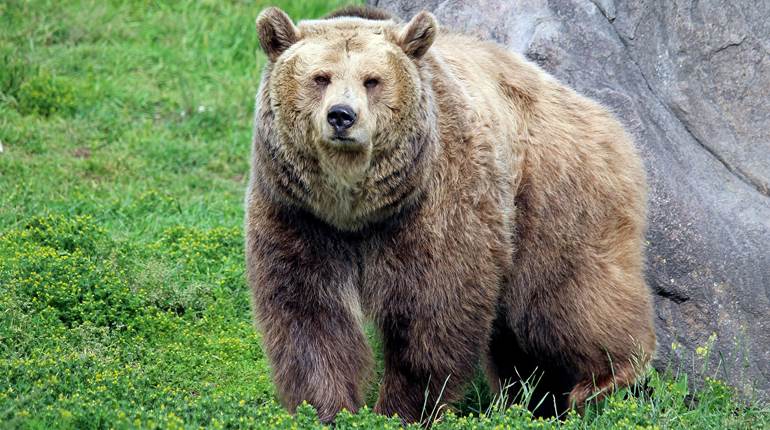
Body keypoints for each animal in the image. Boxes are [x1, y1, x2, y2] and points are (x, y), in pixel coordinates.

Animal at [245, 5, 656, 424]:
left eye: (372, 80)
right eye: (320, 77)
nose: (341, 116)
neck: (356, 210)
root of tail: (603, 116)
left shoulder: (435, 203)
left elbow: (434, 308)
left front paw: (404, 409)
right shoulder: (299, 215)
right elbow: (309, 314)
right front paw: (326, 409)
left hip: (553, 194)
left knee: (562, 299)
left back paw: (605, 379)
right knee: (517, 336)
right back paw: (536, 399)